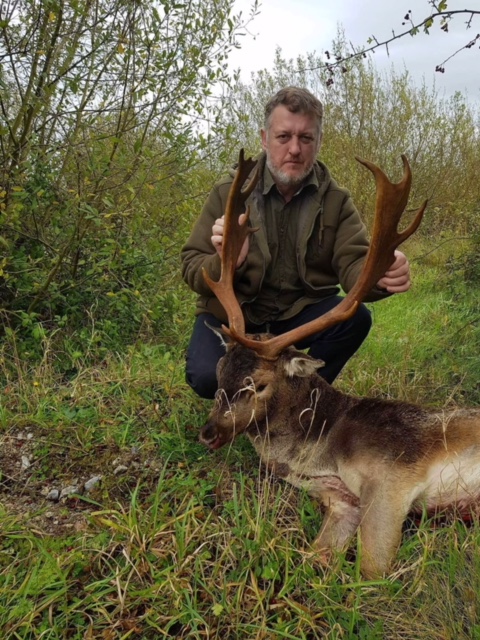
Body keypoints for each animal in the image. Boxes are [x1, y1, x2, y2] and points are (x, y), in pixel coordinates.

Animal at [197, 150, 478, 580]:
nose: (209, 433)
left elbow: (371, 573)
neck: (321, 449)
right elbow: (313, 558)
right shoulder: (343, 500)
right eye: (219, 371)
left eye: (258, 383)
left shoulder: (393, 475)